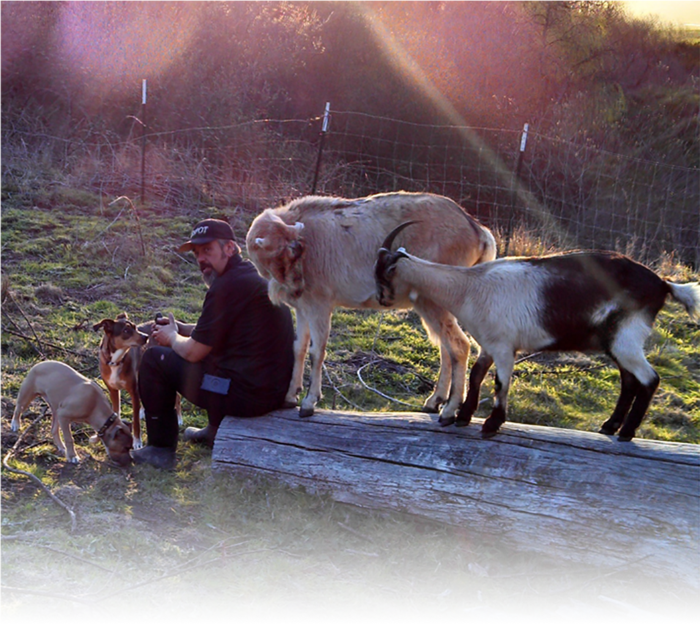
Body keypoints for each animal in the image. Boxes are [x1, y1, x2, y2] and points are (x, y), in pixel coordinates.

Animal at [93, 314, 148, 446]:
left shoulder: (133, 391)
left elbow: (136, 421)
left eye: (135, 327)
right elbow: (116, 412)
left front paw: (137, 441)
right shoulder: (113, 390)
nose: (146, 337)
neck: (115, 361)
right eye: (126, 330)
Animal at [378, 222, 700, 442]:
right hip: (617, 341)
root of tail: (663, 285)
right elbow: (477, 375)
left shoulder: (505, 346)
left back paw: (626, 432)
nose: (382, 300)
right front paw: (464, 416)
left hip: (627, 337)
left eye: (382, 274)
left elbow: (500, 383)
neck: (470, 286)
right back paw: (610, 426)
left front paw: (491, 424)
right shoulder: (489, 344)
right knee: (629, 381)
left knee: (649, 379)